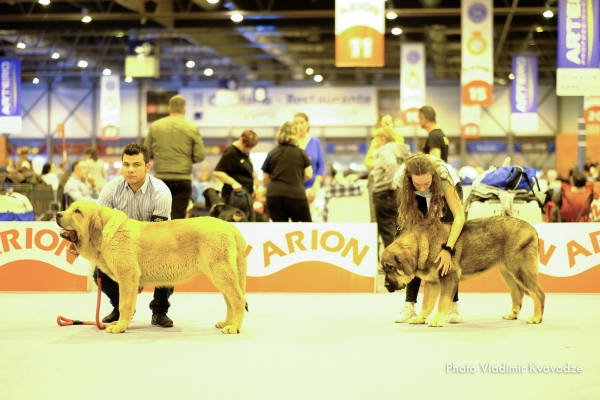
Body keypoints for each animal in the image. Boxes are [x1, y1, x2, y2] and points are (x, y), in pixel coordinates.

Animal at [54, 200, 246, 334]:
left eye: (77, 211)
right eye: (70, 208)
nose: (57, 214)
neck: (105, 234)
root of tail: (230, 226)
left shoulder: (127, 277)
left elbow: (124, 305)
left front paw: (120, 327)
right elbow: (124, 304)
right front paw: (119, 323)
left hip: (221, 272)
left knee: (238, 299)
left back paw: (234, 327)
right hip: (223, 276)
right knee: (231, 301)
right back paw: (228, 322)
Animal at [382, 217, 548, 326]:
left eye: (391, 268)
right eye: (384, 269)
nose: (386, 286)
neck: (423, 246)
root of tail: (533, 229)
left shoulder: (448, 277)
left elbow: (443, 301)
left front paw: (437, 320)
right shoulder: (432, 282)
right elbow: (426, 303)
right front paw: (420, 318)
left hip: (521, 270)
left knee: (539, 294)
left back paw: (536, 318)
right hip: (508, 272)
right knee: (517, 294)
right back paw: (512, 314)